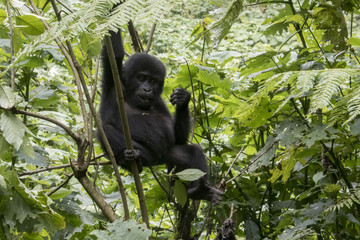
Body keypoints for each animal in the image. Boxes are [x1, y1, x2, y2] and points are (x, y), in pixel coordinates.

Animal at [99, 31, 222, 202]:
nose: (147, 89)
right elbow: (114, 53)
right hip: (148, 156)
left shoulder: (158, 100)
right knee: (106, 130)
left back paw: (199, 190)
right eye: (141, 78)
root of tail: (157, 160)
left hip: (167, 155)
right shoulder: (114, 80)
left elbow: (177, 137)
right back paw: (132, 160)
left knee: (193, 151)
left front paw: (182, 100)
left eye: (153, 81)